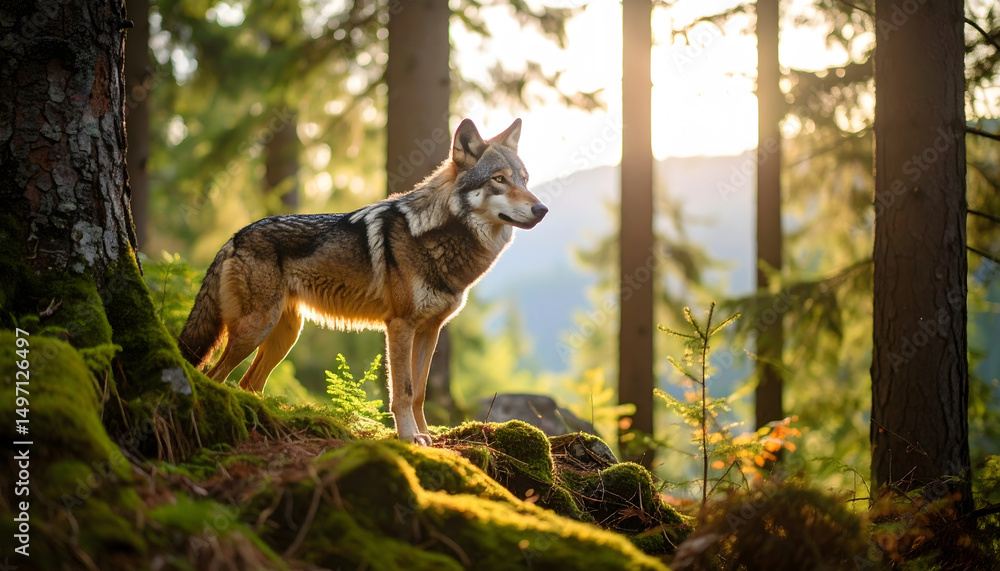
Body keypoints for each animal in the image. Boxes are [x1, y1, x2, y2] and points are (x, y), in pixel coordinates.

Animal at [178, 118, 547, 445]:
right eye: (499, 179)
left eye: (525, 180)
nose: (542, 209)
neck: (439, 235)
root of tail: (234, 237)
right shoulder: (399, 326)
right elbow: (403, 391)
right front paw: (409, 437)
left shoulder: (430, 330)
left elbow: (420, 391)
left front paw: (428, 435)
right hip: (255, 330)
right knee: (215, 376)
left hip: (284, 336)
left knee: (248, 384)